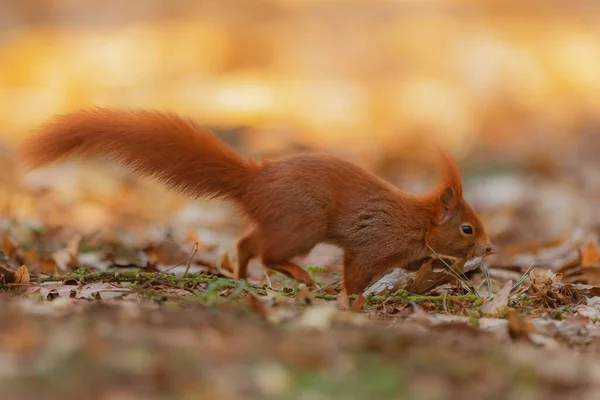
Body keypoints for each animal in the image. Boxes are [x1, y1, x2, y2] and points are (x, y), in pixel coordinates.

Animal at [21, 108, 494, 296]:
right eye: (467, 227)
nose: (489, 248)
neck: (416, 221)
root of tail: (255, 180)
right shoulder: (374, 242)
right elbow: (356, 272)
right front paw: (354, 298)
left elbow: (420, 263)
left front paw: (447, 270)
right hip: (303, 226)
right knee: (268, 252)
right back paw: (297, 276)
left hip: (283, 223)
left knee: (246, 243)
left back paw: (242, 275)